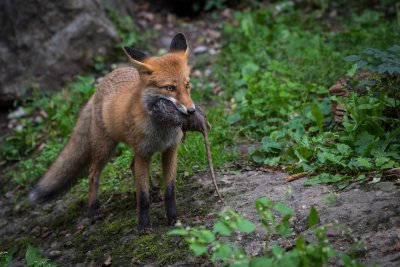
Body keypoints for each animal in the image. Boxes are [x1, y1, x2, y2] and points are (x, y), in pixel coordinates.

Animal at [27, 33, 195, 234]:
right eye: (170, 88)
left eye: (187, 85)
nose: (192, 111)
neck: (161, 131)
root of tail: (100, 86)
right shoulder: (143, 152)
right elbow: (143, 198)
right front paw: (143, 226)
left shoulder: (170, 150)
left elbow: (169, 190)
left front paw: (173, 218)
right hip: (104, 149)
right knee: (93, 174)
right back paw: (94, 210)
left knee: (131, 167)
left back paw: (153, 194)